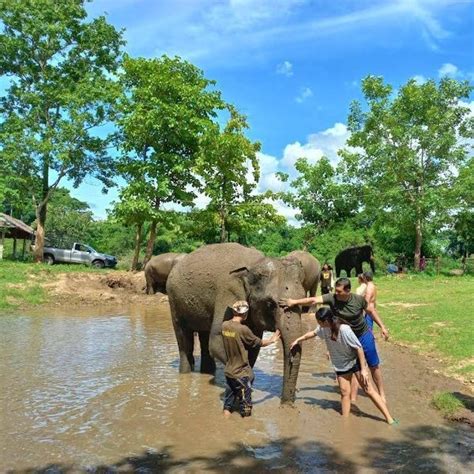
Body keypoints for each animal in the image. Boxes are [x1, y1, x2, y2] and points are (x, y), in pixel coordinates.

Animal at [167, 244, 308, 404]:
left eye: (303, 298)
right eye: (270, 304)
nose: (286, 404)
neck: (254, 264)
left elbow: (253, 345)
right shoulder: (227, 294)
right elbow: (217, 341)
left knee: (204, 336)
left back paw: (208, 372)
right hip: (174, 300)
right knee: (184, 338)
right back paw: (186, 373)